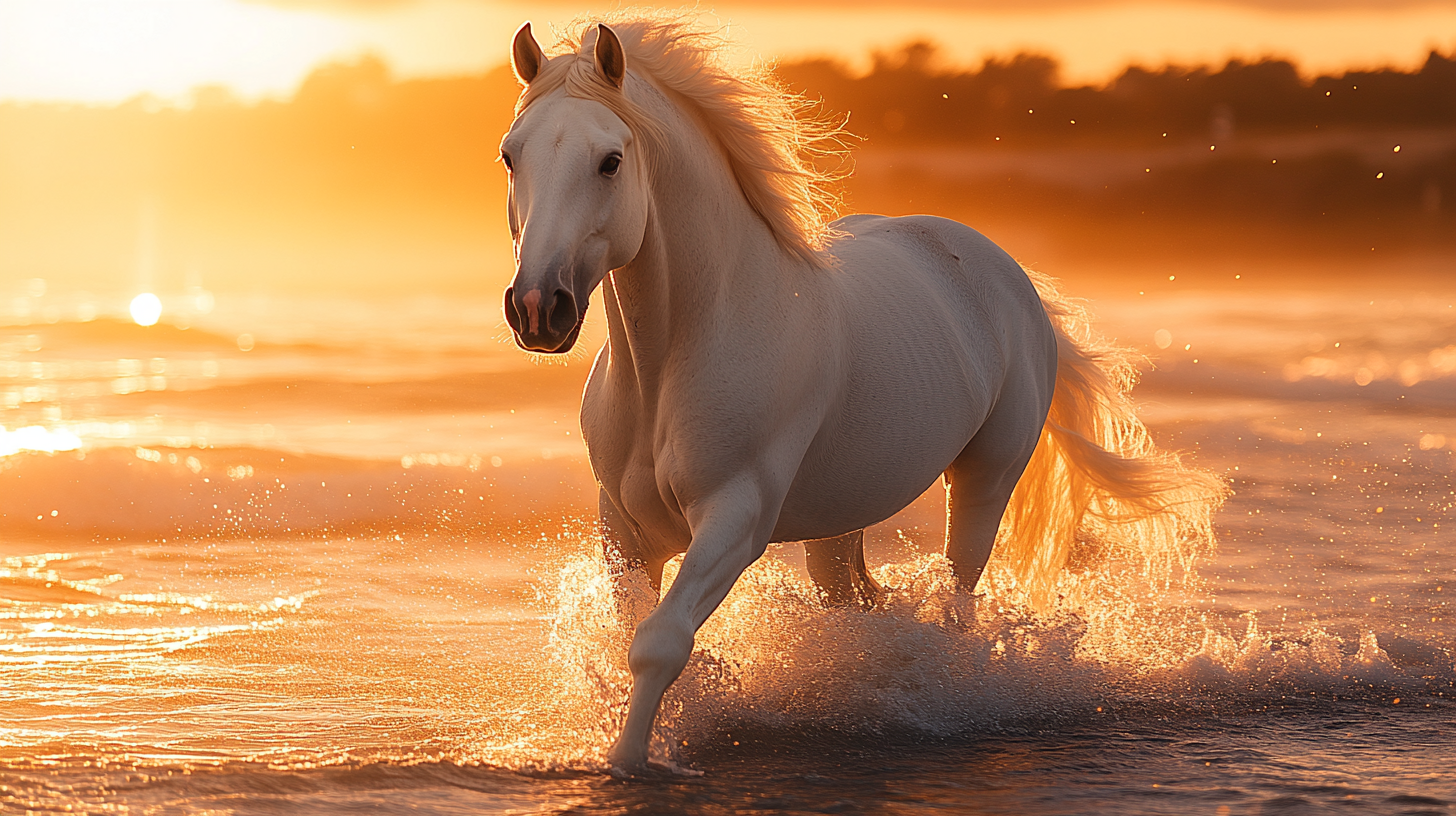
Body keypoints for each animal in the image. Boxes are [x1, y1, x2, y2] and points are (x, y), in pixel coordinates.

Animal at [497, 15, 1224, 772]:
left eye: (610, 161)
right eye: (510, 156)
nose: (538, 308)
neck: (675, 359)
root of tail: (1007, 273)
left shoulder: (735, 520)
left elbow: (658, 645)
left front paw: (631, 760)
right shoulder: (624, 527)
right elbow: (628, 642)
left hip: (985, 482)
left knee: (957, 605)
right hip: (838, 522)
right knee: (858, 600)